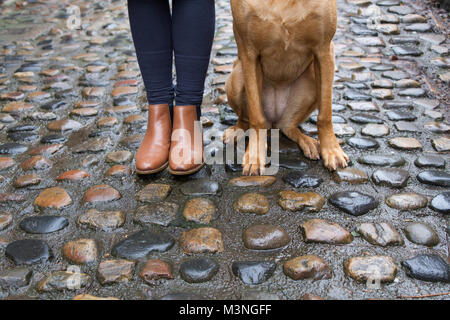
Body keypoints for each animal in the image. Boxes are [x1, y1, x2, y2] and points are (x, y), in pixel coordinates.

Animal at [224, 0, 348, 175]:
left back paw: (307, 141)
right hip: (236, 77)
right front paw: (255, 155)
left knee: (288, 127)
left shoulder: (324, 51)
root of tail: (273, 123)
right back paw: (237, 130)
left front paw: (331, 150)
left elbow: (325, 115)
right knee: (246, 119)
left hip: (311, 75)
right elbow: (256, 117)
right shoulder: (249, 53)